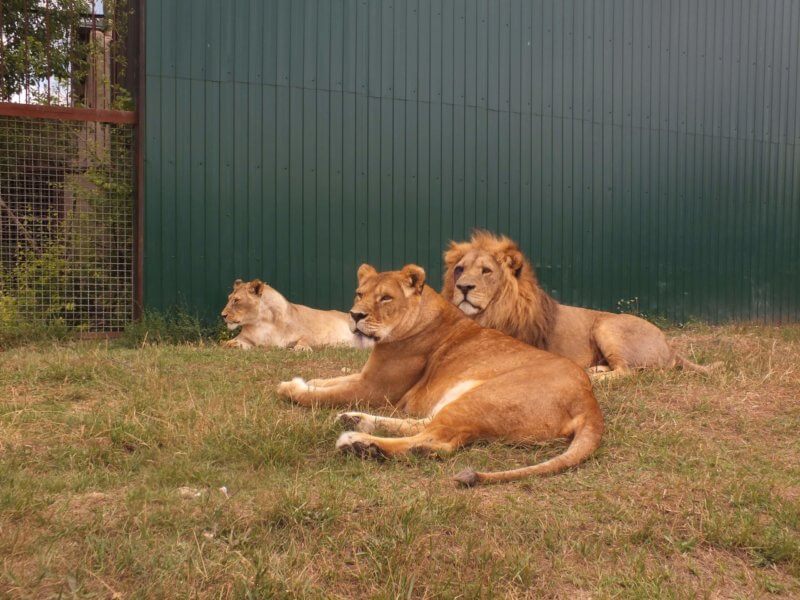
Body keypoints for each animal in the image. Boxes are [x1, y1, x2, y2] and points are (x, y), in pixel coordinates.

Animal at [222, 280, 376, 352]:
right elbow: (232, 343)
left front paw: (302, 348)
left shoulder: (312, 332)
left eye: (236, 300)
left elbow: (305, 339)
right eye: (228, 298)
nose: (222, 315)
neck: (261, 322)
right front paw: (231, 344)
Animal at [276, 264, 600, 488]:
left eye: (385, 298)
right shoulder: (366, 377)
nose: (355, 316)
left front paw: (290, 388)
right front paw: (306, 381)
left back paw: (360, 444)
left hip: (482, 396)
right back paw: (355, 420)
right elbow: (330, 381)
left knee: (438, 439)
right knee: (429, 427)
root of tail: (589, 401)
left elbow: (324, 395)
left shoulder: (374, 388)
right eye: (360, 294)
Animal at [440, 230, 720, 380]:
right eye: (459, 270)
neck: (490, 313)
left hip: (607, 325)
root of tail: (669, 346)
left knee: (626, 372)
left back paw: (592, 375)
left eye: (486, 271)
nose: (463, 287)